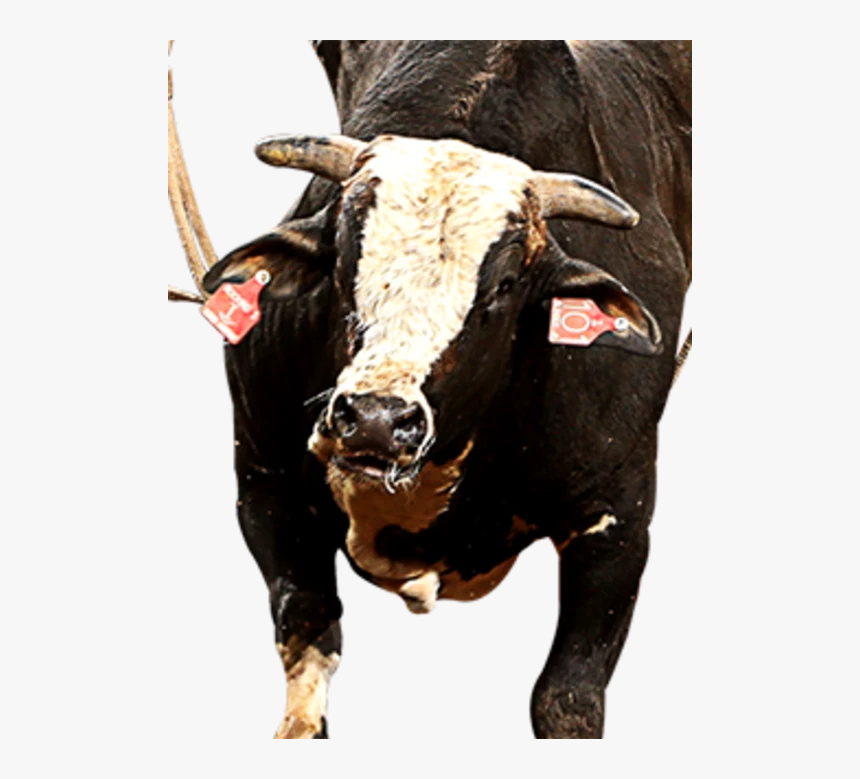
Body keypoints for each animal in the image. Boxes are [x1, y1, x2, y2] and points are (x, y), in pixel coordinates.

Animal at [190, 40, 691, 739]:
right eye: (344, 256)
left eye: (506, 283)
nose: (376, 418)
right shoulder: (266, 492)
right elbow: (307, 665)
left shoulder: (617, 525)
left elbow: (565, 701)